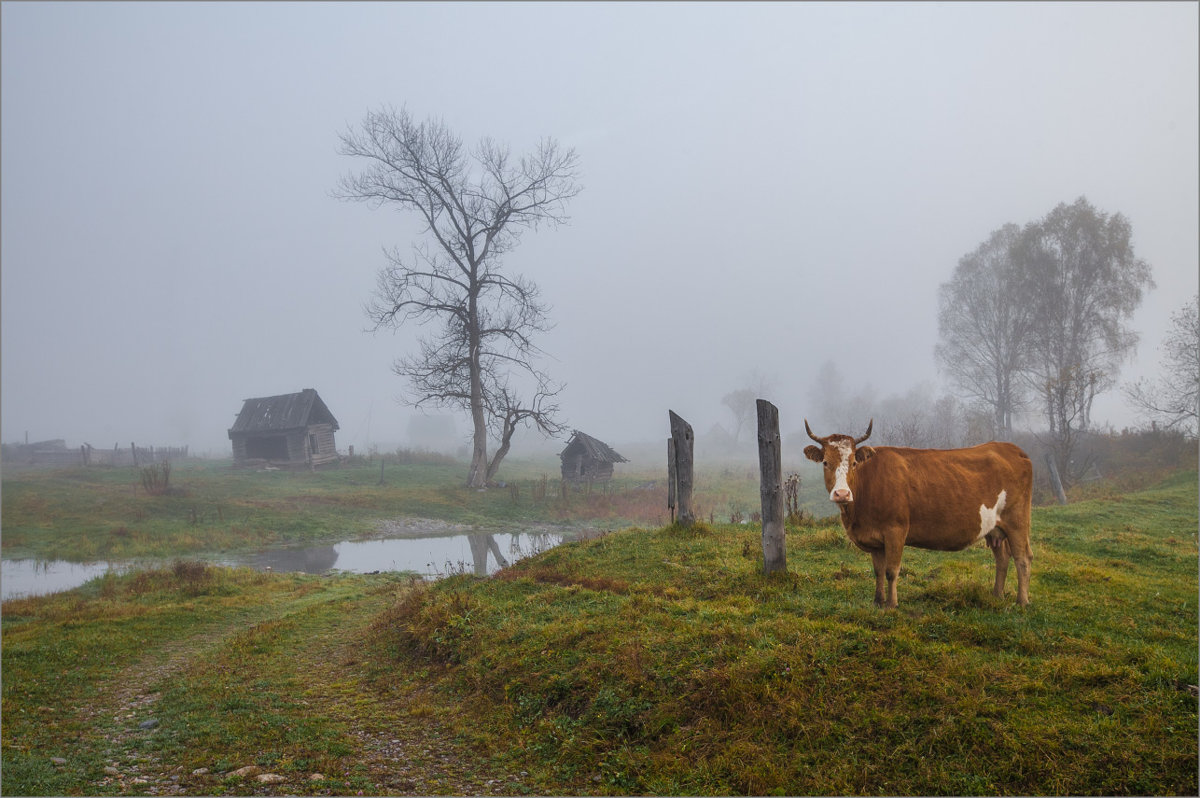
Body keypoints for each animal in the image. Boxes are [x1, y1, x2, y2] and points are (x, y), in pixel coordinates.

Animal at [806, 420, 1032, 607]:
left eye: (854, 462)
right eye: (825, 462)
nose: (842, 493)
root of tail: (1012, 448)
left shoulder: (895, 530)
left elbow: (891, 570)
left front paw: (892, 604)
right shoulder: (875, 538)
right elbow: (878, 571)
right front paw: (878, 601)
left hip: (1017, 522)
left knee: (1022, 558)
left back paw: (1022, 602)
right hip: (995, 528)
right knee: (1002, 558)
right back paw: (997, 596)